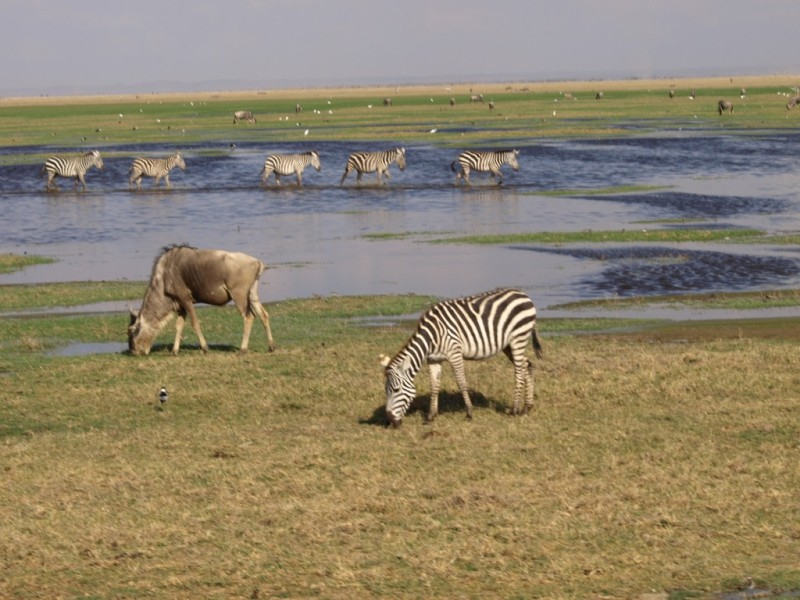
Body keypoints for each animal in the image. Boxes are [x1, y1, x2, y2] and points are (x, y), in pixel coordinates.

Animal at [380, 288, 544, 424]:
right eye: (386, 391)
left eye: (396, 390)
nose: (390, 420)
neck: (431, 337)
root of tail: (523, 294)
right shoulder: (433, 359)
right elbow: (434, 386)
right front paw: (431, 416)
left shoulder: (455, 354)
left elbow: (461, 382)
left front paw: (469, 413)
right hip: (508, 345)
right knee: (527, 366)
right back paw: (527, 407)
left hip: (518, 339)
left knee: (519, 372)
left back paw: (514, 410)